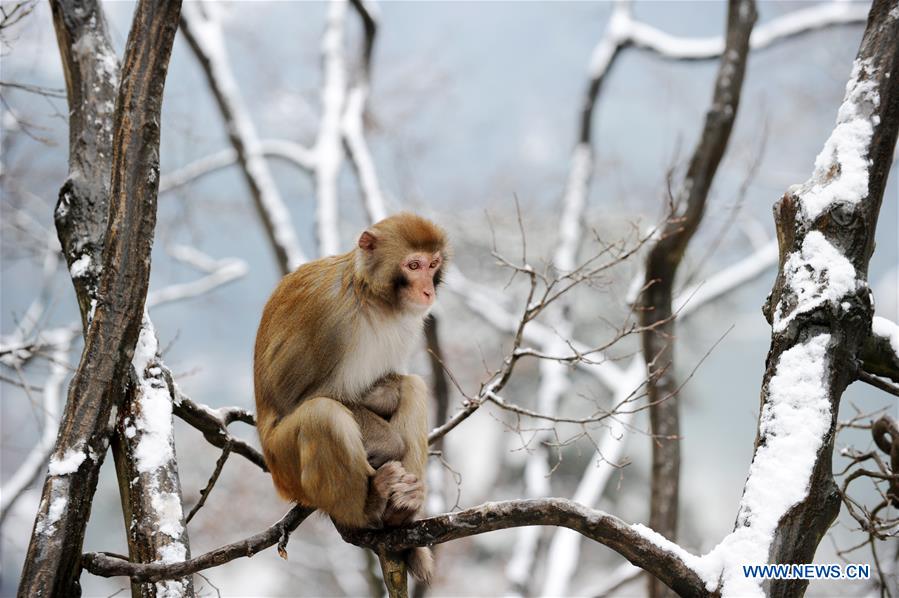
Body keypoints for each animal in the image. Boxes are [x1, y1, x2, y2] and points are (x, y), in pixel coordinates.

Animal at [251, 213, 448, 584]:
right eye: (413, 265)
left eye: (433, 264)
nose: (428, 289)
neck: (370, 296)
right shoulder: (329, 318)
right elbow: (296, 398)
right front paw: (387, 441)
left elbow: (393, 382)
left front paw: (384, 393)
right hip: (284, 466)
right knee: (322, 415)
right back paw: (368, 508)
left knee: (414, 387)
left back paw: (401, 513)